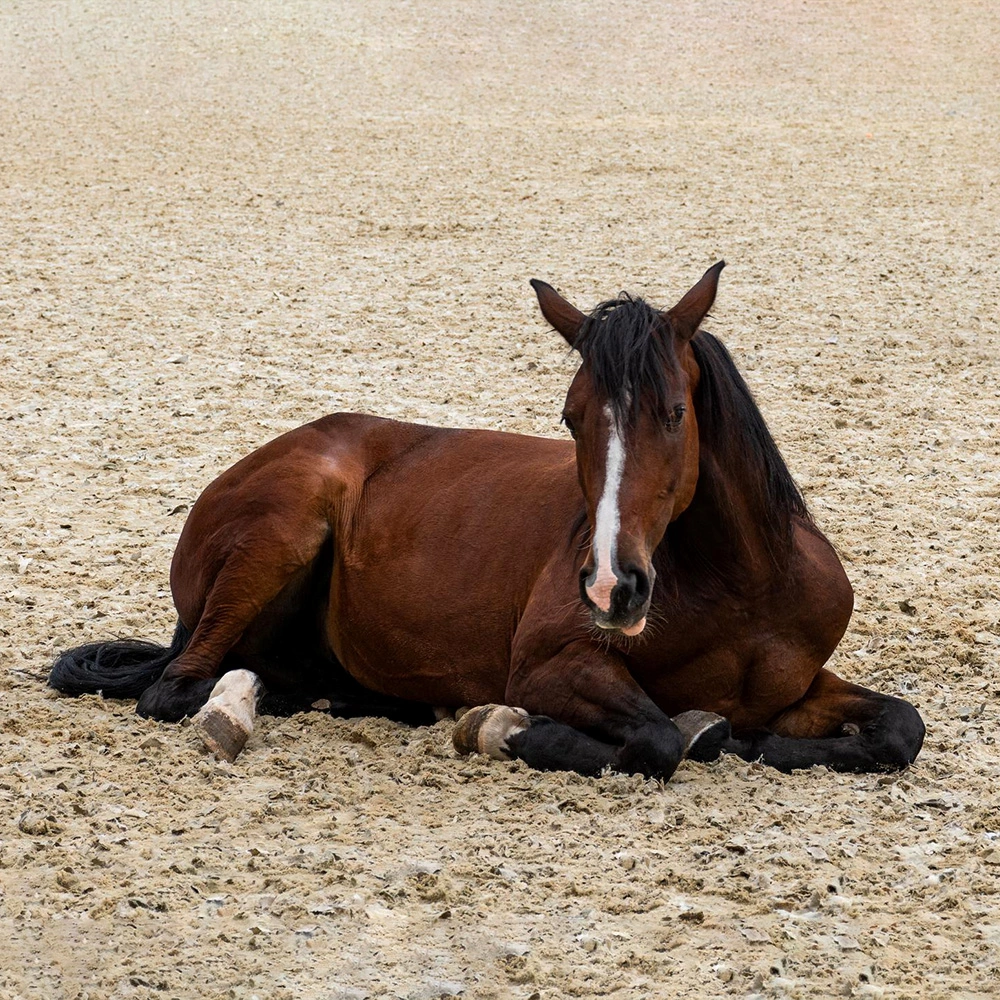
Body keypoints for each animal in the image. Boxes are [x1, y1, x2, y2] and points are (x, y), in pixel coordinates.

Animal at [49, 262, 925, 778]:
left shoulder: (801, 686)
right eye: (572, 418)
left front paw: (751, 739)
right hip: (282, 529)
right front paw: (504, 727)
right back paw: (234, 709)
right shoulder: (548, 665)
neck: (742, 588)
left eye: (675, 413)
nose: (612, 588)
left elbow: (899, 728)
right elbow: (655, 739)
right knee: (177, 687)